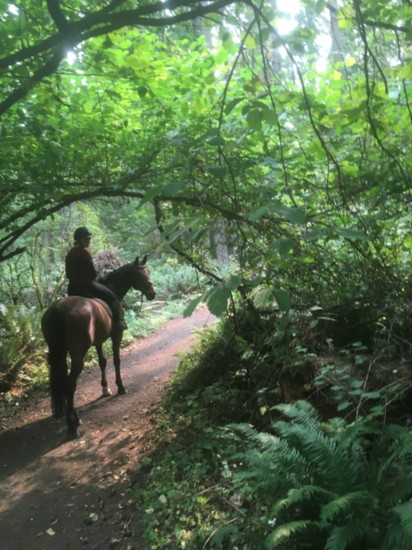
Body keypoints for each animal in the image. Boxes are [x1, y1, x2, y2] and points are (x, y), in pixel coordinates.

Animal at [41, 256, 156, 440]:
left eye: (149, 272)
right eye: (139, 275)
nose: (152, 294)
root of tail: (58, 310)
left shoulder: (99, 341)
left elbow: (102, 361)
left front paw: (105, 388)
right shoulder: (116, 336)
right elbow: (116, 360)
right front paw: (120, 387)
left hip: (60, 353)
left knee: (64, 382)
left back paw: (75, 418)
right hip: (78, 354)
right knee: (70, 384)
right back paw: (72, 426)